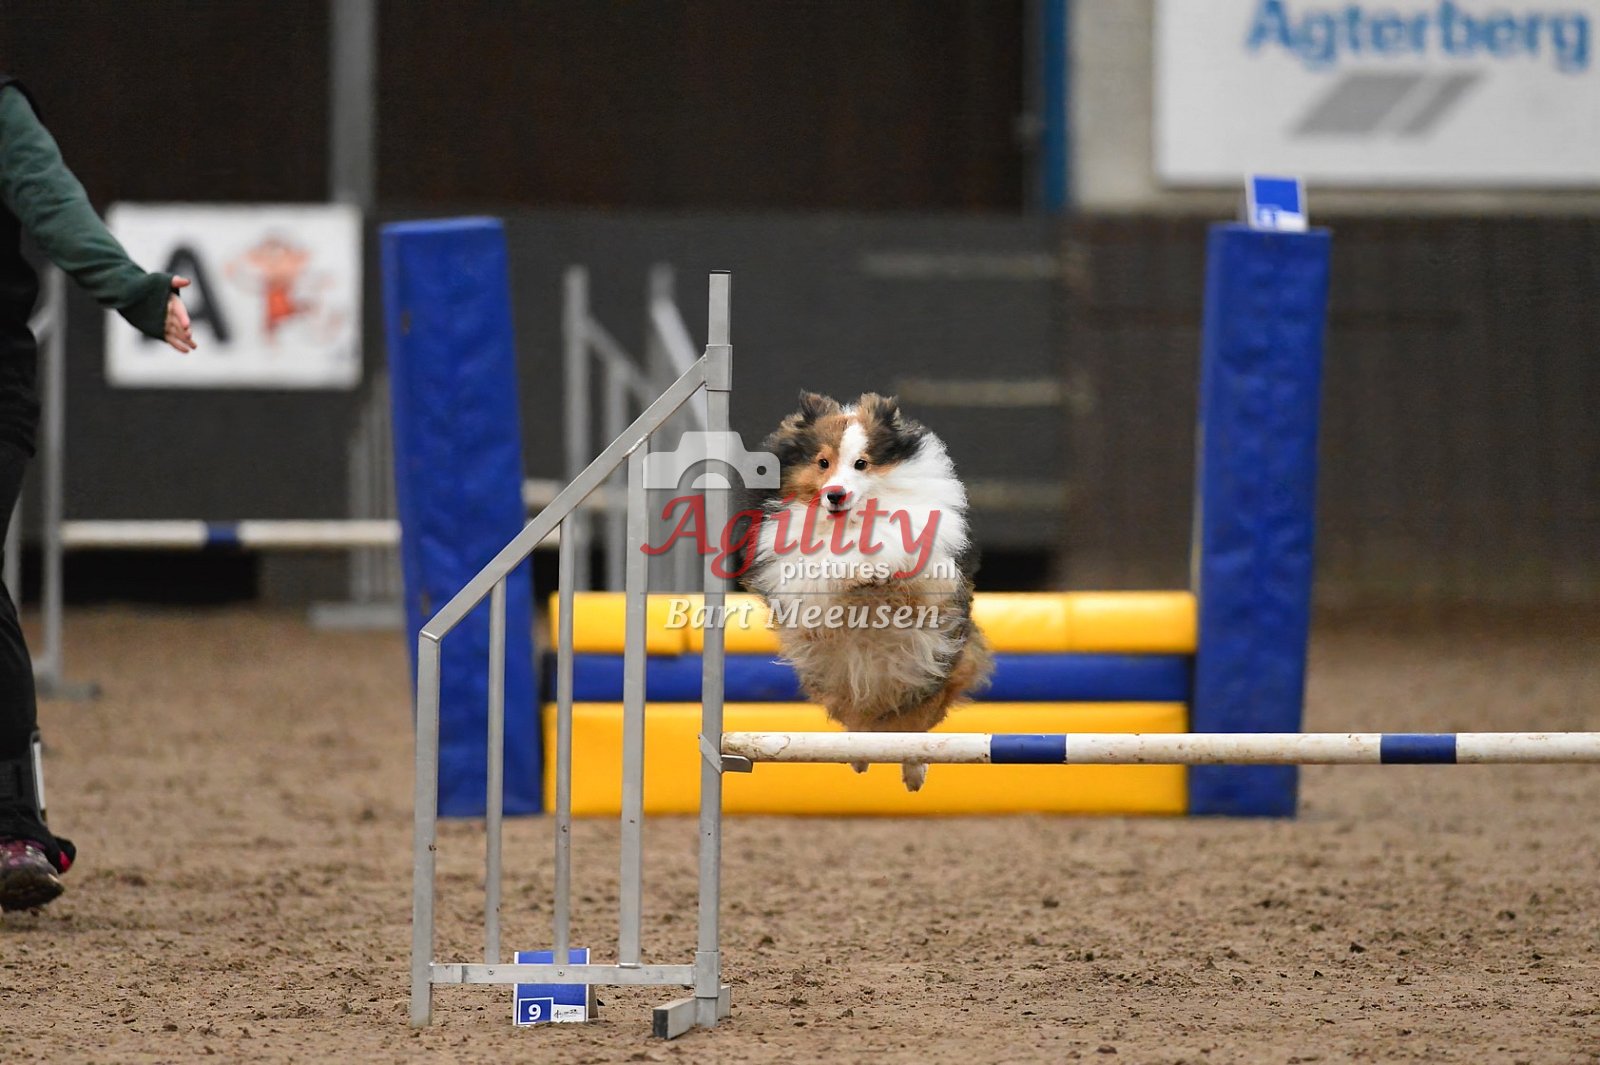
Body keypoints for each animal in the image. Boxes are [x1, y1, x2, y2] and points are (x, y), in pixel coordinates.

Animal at [742, 391, 993, 792]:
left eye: (862, 463)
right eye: (823, 462)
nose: (835, 495)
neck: (851, 522)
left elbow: (900, 557)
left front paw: (877, 568)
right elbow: (824, 571)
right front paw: (855, 572)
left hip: (929, 672)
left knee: (914, 730)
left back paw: (913, 773)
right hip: (838, 675)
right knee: (857, 720)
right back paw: (858, 755)